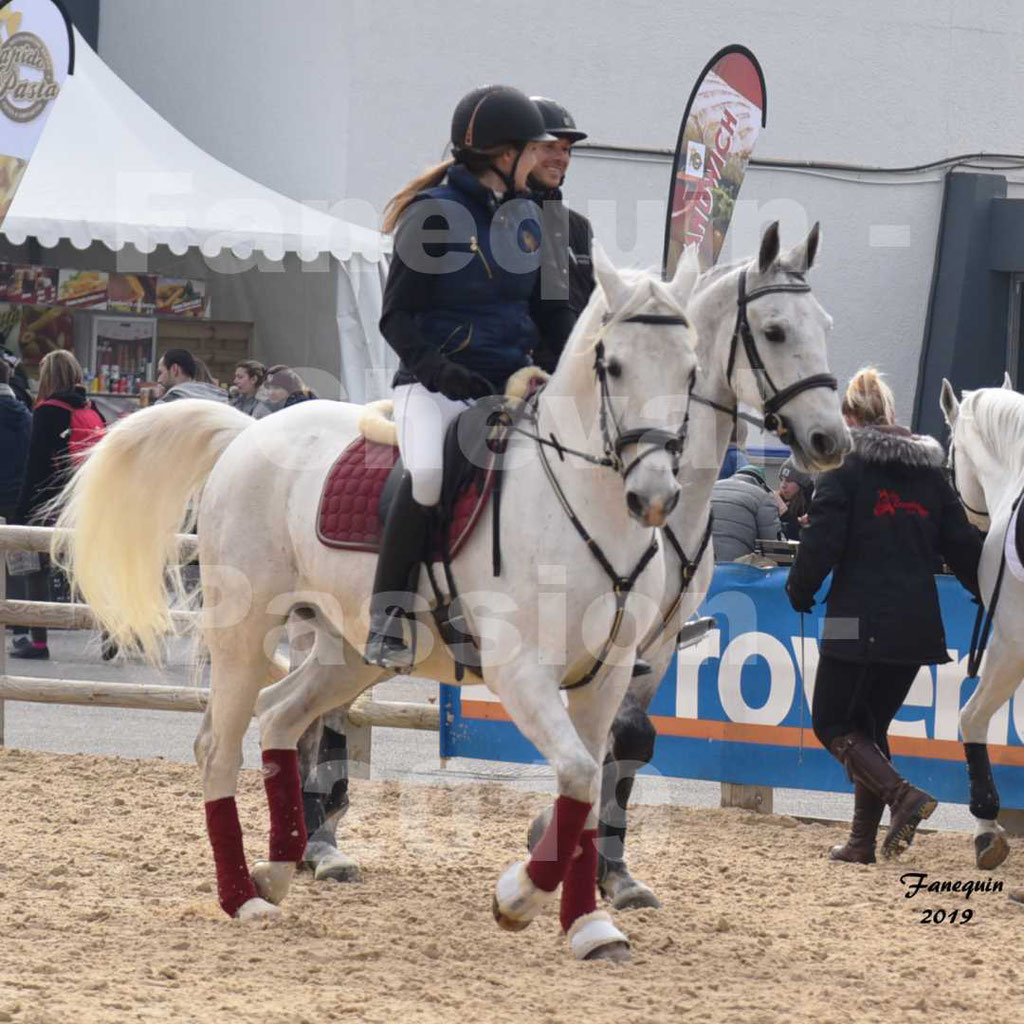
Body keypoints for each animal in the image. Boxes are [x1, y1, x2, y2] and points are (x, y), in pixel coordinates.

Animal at [51, 247, 700, 958]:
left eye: (691, 370)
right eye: (613, 366)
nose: (656, 497)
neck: (582, 509)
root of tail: (250, 429)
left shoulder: (606, 677)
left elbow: (583, 786)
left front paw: (589, 926)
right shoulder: (519, 670)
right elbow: (581, 776)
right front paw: (517, 898)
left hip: (349, 652)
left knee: (279, 717)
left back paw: (279, 867)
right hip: (246, 631)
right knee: (218, 746)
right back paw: (244, 897)